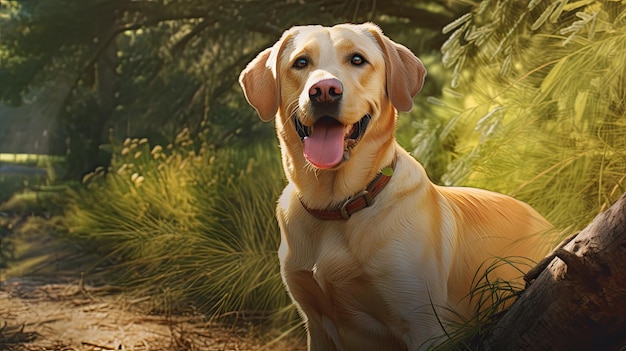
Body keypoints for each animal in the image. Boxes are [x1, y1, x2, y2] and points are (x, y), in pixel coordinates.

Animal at [239, 22, 552, 351]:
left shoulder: (424, 325)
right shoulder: (316, 324)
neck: (338, 205)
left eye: (357, 59)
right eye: (300, 62)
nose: (324, 90)